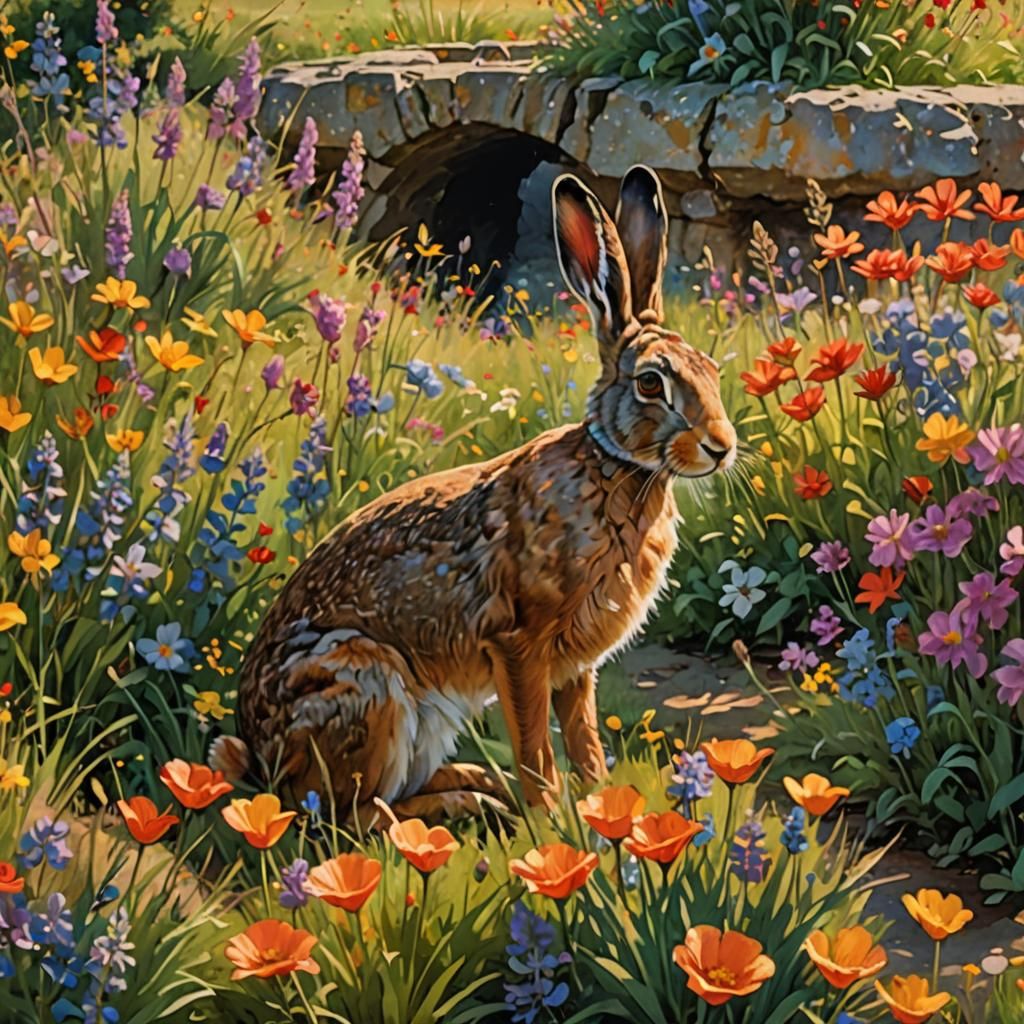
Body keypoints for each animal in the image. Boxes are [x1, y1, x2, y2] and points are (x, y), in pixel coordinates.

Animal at [213, 165, 737, 822]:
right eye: (650, 384)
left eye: (713, 372)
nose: (722, 446)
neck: (613, 467)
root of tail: (259, 759)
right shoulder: (518, 645)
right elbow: (537, 746)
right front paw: (551, 818)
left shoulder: (576, 668)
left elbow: (584, 737)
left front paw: (604, 806)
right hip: (367, 689)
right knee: (357, 816)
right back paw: (473, 802)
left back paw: (479, 786)